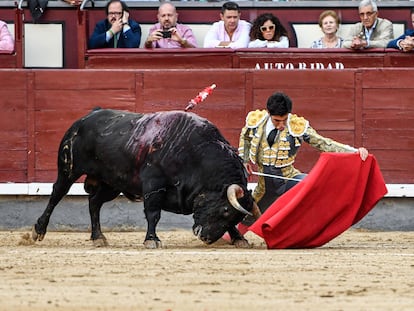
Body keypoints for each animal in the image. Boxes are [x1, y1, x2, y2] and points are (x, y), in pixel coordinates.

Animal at [31, 109, 258, 249]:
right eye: (225, 210)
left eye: (235, 217)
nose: (206, 238)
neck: (195, 153)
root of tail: (84, 119)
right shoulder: (153, 185)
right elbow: (153, 213)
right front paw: (152, 240)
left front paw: (239, 239)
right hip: (69, 170)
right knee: (56, 195)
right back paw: (38, 231)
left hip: (111, 183)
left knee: (94, 203)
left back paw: (98, 237)